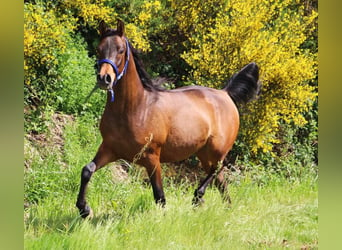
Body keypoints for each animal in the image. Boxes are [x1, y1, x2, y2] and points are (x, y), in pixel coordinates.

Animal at [75, 20, 260, 219]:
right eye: (99, 49)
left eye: (121, 50)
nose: (104, 78)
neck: (135, 109)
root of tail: (225, 94)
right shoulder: (110, 149)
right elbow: (87, 170)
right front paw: (84, 209)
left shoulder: (152, 158)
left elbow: (159, 195)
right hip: (204, 154)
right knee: (221, 180)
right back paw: (225, 209)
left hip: (217, 150)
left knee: (219, 168)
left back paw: (198, 197)